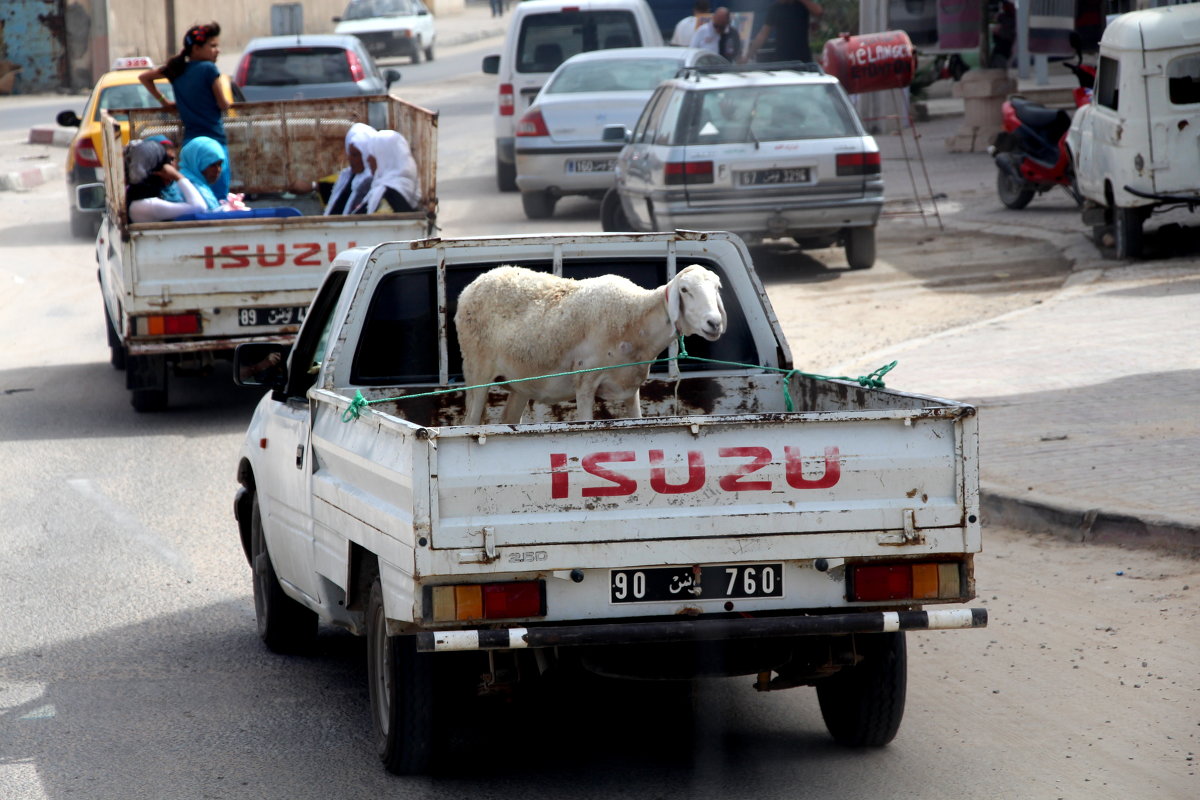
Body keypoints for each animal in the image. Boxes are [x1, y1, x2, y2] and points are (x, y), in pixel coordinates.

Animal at [453, 263, 724, 424]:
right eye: (685, 290)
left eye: (717, 288)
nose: (714, 322)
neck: (634, 317)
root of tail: (474, 283)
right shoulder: (585, 381)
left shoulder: (630, 386)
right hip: (477, 370)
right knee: (470, 422)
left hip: (520, 383)